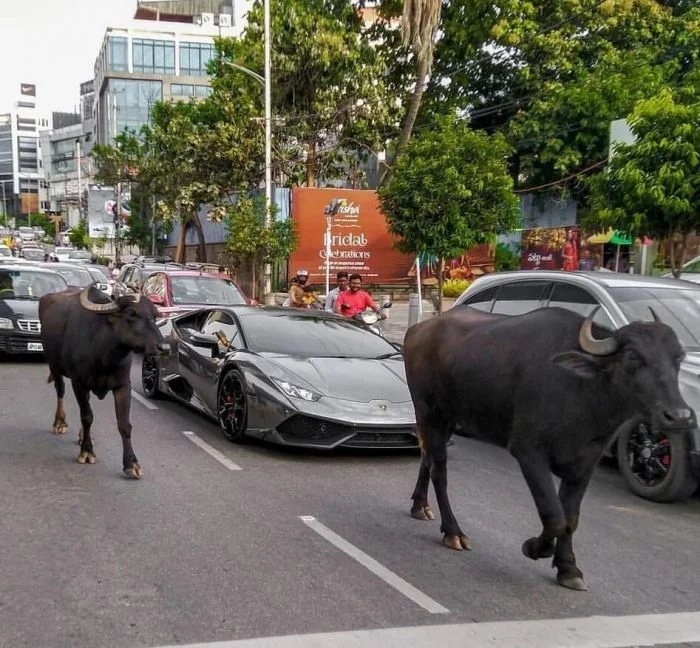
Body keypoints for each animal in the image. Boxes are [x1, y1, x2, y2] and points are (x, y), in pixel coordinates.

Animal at [38, 286, 168, 478]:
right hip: (53, 365)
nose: (164, 347)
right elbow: (87, 416)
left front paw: (131, 463)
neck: (104, 355)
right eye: (131, 313)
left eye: (155, 314)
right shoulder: (79, 383)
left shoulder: (123, 386)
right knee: (60, 390)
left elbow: (124, 423)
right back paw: (60, 423)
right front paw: (87, 452)